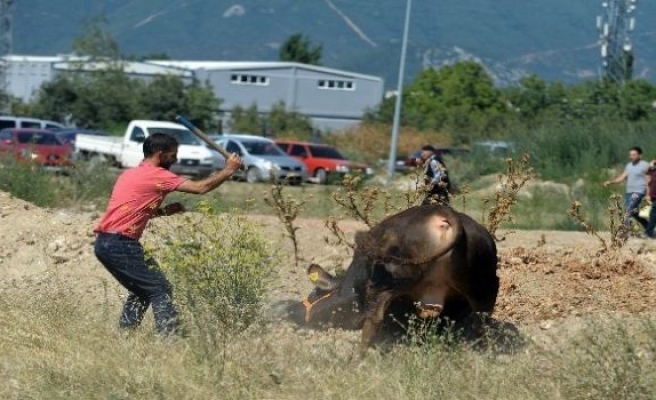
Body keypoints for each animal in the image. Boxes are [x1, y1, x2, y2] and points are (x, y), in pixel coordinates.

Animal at [280, 205, 500, 354]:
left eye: (315, 291)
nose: (283, 308)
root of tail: (446, 216)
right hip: (485, 287)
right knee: (482, 324)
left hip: (388, 281)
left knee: (374, 319)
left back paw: (356, 358)